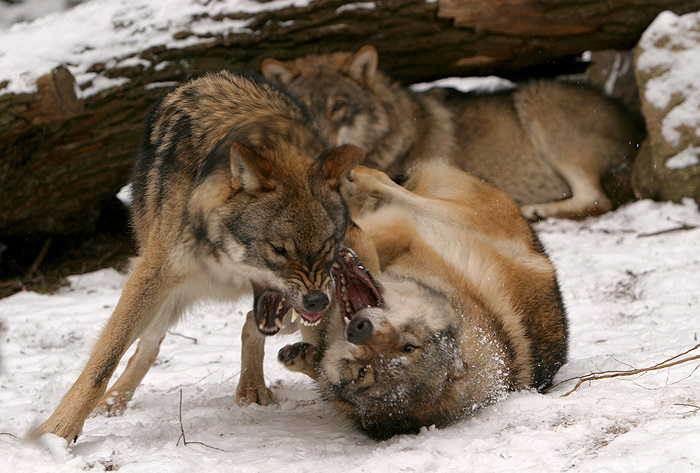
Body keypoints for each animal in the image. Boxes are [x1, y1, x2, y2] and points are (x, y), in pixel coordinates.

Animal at [32, 70, 364, 442]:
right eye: (279, 249)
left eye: (328, 247)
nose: (318, 302)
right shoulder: (152, 274)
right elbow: (103, 362)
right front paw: (57, 432)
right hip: (165, 292)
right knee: (148, 345)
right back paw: (113, 403)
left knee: (248, 323)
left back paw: (251, 388)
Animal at [262, 45, 644, 220]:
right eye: (304, 108)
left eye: (339, 107)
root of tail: (637, 125)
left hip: (536, 97)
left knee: (597, 199)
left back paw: (538, 209)